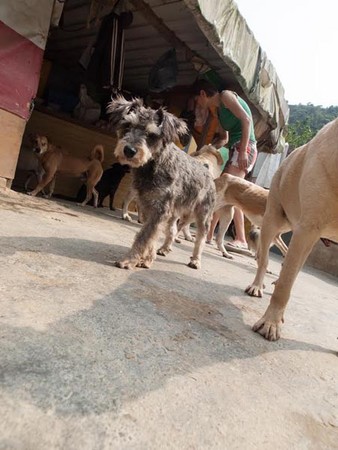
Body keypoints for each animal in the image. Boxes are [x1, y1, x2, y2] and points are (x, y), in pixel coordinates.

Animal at [107, 96, 215, 268]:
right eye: (127, 125)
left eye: (151, 134)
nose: (129, 150)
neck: (153, 164)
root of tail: (207, 172)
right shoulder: (149, 207)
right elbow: (150, 236)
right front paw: (147, 258)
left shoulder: (159, 210)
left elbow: (144, 237)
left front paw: (129, 260)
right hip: (174, 214)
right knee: (172, 231)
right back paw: (164, 248)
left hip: (202, 216)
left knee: (200, 238)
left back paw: (196, 260)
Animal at [246, 119, 338, 342]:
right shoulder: (308, 228)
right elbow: (285, 285)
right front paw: (270, 323)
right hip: (274, 219)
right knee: (265, 260)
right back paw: (257, 286)